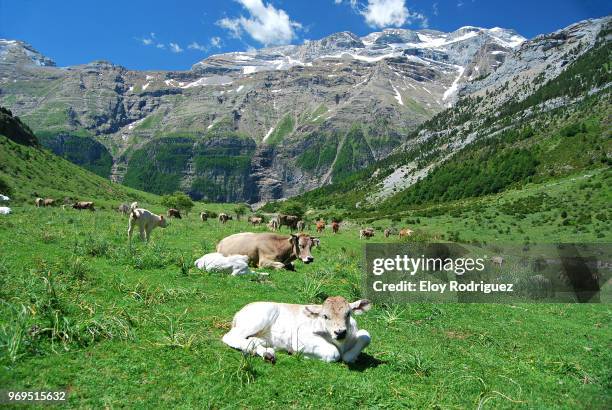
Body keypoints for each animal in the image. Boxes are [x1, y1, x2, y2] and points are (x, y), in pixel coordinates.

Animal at [222, 296, 370, 364]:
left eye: (348, 314)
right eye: (325, 316)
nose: (340, 332)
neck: (342, 344)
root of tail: (239, 312)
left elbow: (366, 335)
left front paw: (351, 356)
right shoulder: (300, 336)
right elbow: (333, 353)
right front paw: (301, 354)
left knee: (253, 340)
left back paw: (267, 353)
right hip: (260, 316)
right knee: (230, 337)